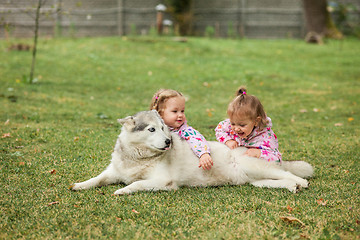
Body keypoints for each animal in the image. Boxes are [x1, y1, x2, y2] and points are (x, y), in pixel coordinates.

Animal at [70, 109, 312, 194]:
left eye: (164, 128)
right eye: (151, 129)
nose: (169, 141)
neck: (138, 158)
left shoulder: (163, 181)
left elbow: (136, 184)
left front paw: (122, 190)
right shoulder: (112, 172)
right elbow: (97, 179)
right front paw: (80, 185)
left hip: (255, 165)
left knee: (289, 174)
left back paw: (301, 182)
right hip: (254, 179)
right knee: (278, 180)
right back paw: (292, 187)